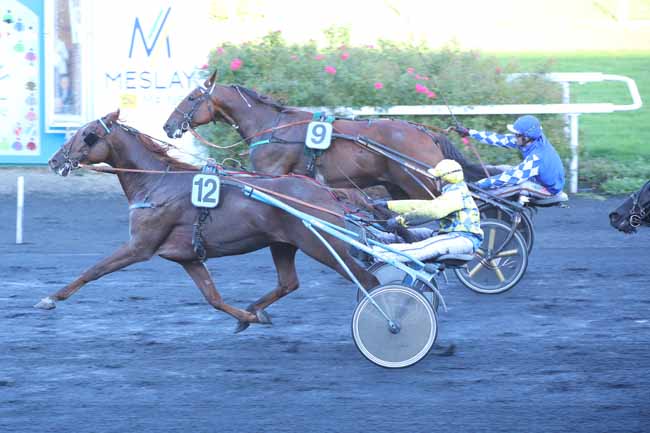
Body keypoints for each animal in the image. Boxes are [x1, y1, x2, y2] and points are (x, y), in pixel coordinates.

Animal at [41, 110, 374, 330]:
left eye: (87, 134)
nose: (54, 160)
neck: (157, 183)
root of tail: (325, 191)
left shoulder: (140, 246)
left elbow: (94, 270)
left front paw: (51, 298)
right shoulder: (187, 256)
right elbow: (212, 297)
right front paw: (247, 318)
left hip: (322, 246)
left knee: (366, 280)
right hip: (282, 243)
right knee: (288, 282)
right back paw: (257, 308)